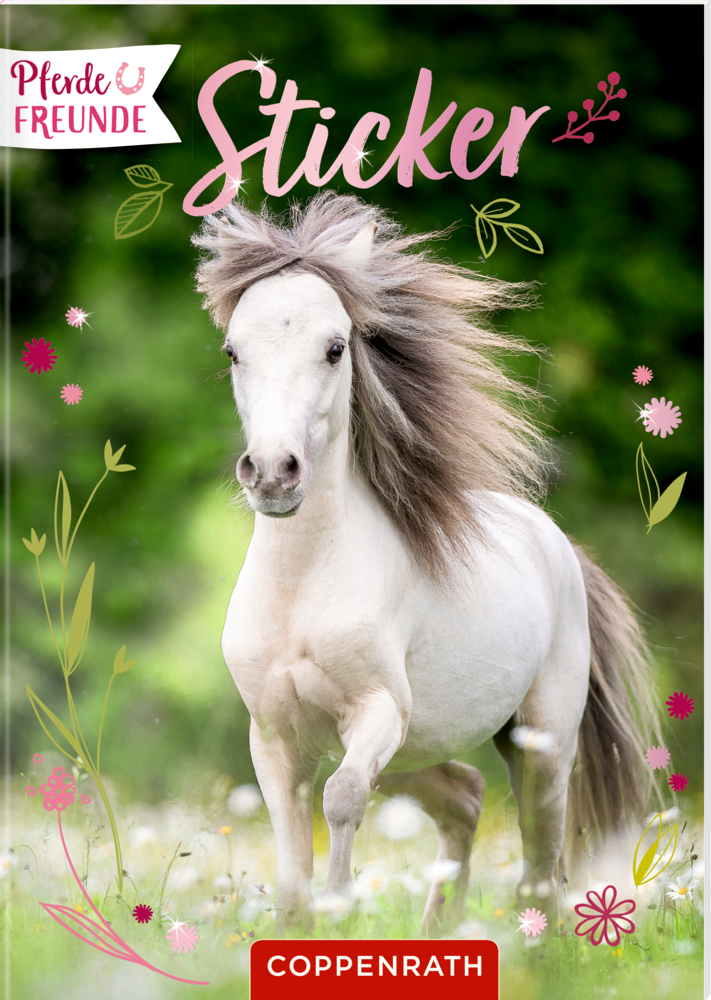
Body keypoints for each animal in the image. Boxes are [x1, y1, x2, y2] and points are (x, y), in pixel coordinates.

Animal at [192, 192, 658, 933]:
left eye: (334, 348)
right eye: (233, 350)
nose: (271, 474)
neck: (302, 588)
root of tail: (554, 542)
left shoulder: (376, 714)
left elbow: (341, 799)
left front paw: (341, 911)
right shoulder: (276, 739)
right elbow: (291, 873)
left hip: (537, 744)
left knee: (539, 862)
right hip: (419, 750)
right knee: (465, 798)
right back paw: (438, 928)